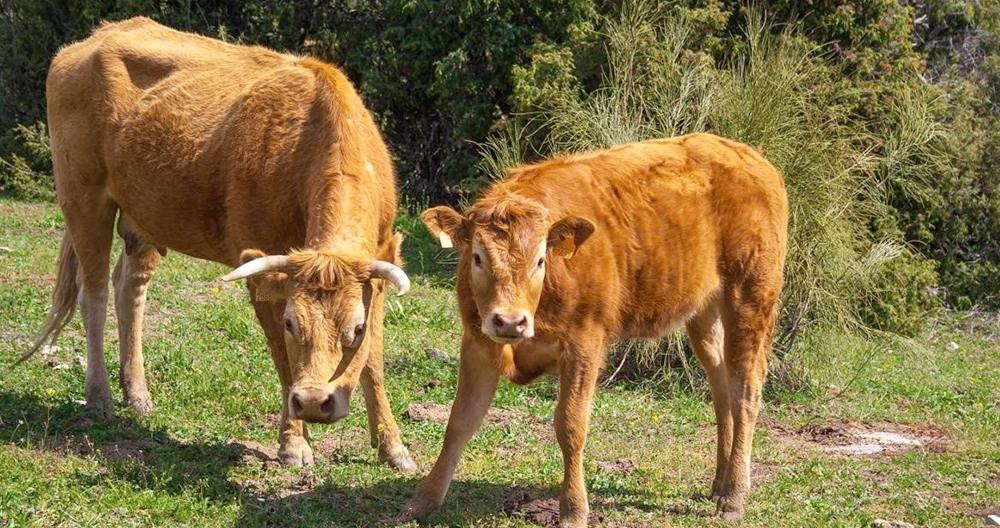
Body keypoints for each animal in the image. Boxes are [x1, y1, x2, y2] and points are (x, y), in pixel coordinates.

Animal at [23, 17, 414, 470]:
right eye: (291, 323)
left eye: (356, 328)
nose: (314, 402)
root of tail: (97, 35)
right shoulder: (262, 274)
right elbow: (284, 361)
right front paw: (294, 443)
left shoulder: (376, 271)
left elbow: (374, 363)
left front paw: (392, 446)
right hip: (83, 198)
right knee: (95, 294)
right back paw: (100, 396)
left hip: (145, 214)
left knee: (130, 289)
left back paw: (136, 393)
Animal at [406, 133, 788, 524]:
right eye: (478, 258)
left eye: (540, 260)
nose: (510, 321)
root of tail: (745, 155)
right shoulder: (478, 341)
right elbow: (460, 419)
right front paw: (423, 499)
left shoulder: (584, 342)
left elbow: (571, 424)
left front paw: (574, 509)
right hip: (705, 312)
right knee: (721, 384)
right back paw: (719, 483)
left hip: (751, 295)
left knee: (745, 389)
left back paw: (734, 495)